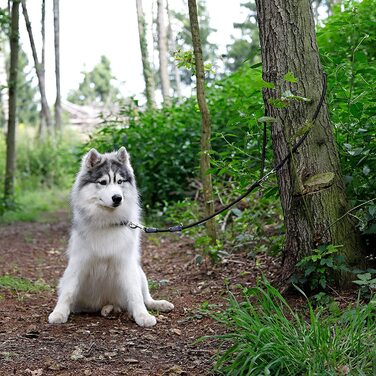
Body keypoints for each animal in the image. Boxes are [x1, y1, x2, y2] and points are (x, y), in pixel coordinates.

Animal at [47, 147, 174, 326]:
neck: (107, 221)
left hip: (139, 272)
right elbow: (68, 291)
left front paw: (142, 316)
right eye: (103, 182)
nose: (117, 198)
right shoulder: (78, 262)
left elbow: (136, 295)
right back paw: (109, 309)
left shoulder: (127, 263)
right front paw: (59, 312)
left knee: (146, 297)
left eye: (120, 181)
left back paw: (158, 304)